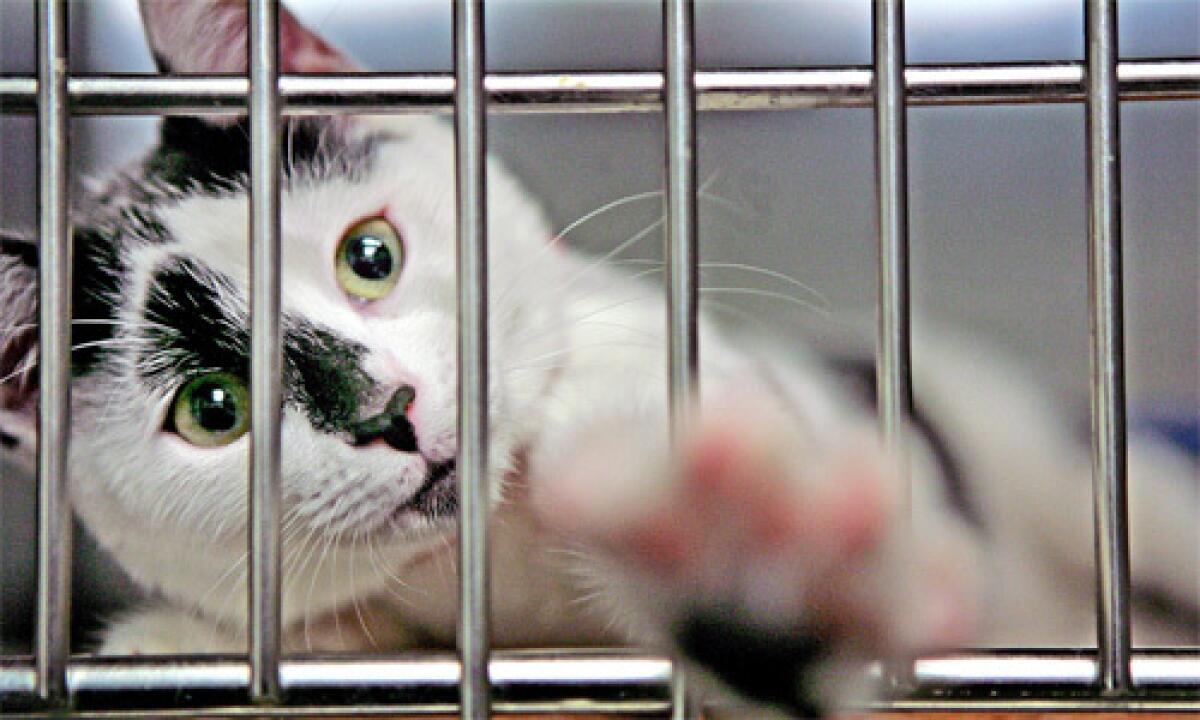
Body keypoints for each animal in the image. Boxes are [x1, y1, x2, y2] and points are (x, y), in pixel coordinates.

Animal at [0, 1, 1195, 715]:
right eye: (213, 410)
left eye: (369, 255)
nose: (387, 407)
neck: (500, 585)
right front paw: (163, 645)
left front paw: (745, 544)